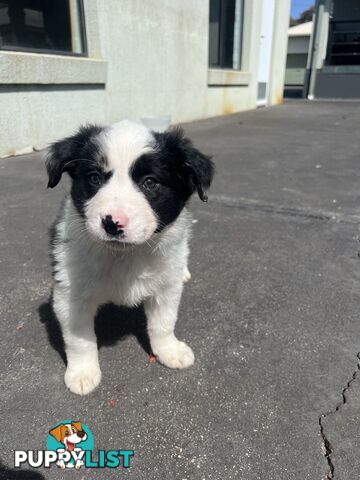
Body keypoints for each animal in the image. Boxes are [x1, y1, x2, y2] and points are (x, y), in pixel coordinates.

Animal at [45, 122, 214, 396]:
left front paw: (169, 351)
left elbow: (164, 322)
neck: (125, 255)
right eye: (94, 178)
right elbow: (79, 338)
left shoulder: (166, 287)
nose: (112, 223)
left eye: (150, 182)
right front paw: (82, 373)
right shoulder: (70, 293)